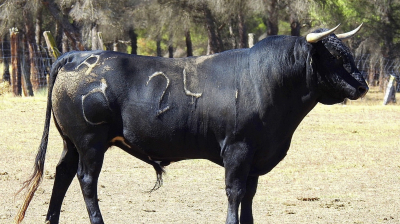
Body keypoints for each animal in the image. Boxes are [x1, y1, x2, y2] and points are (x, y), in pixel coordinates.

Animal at [18, 28, 368, 223]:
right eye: (335, 55)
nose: (363, 86)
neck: (269, 81)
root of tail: (78, 56)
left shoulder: (255, 157)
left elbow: (250, 196)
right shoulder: (238, 150)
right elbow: (235, 193)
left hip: (72, 143)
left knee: (62, 175)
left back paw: (51, 220)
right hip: (91, 142)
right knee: (87, 181)